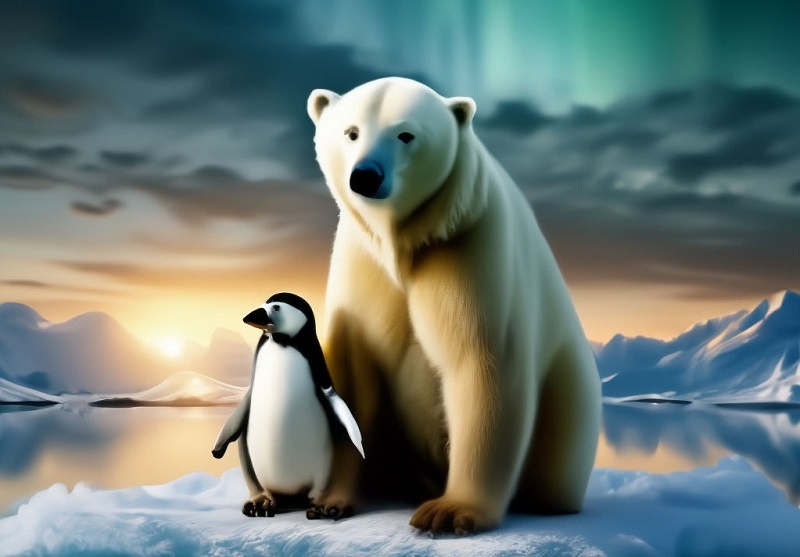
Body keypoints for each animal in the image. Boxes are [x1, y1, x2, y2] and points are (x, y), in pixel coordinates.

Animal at [306, 77, 601, 534]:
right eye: (351, 132)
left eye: (405, 135)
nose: (366, 176)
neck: (404, 242)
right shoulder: (362, 263)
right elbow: (353, 372)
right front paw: (330, 502)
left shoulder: (467, 245)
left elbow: (481, 361)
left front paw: (450, 512)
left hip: (570, 395)